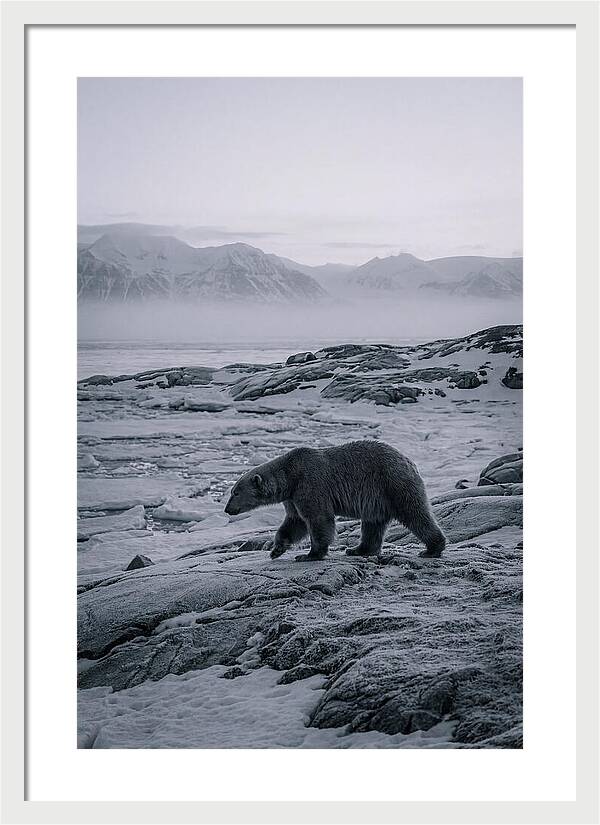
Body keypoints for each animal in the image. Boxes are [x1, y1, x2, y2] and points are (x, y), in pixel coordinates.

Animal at [224, 440, 445, 562]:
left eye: (235, 493)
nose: (227, 509)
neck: (290, 475)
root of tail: (409, 461)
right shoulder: (293, 497)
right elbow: (295, 522)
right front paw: (276, 549)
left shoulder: (310, 483)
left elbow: (318, 518)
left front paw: (309, 554)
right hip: (377, 499)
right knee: (373, 524)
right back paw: (357, 549)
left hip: (393, 483)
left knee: (415, 513)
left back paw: (432, 548)